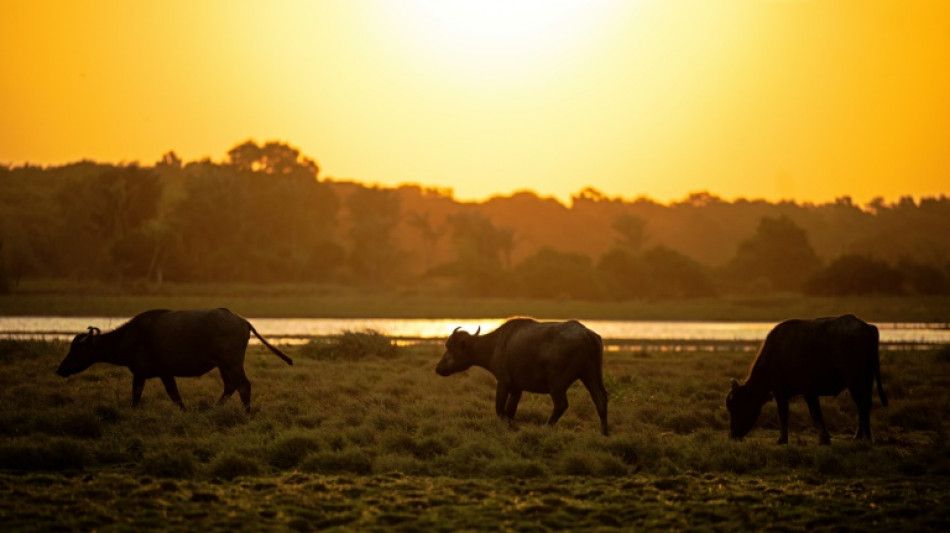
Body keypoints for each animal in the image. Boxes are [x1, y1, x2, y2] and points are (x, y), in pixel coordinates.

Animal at [55, 308, 292, 412]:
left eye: (77, 349)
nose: (60, 369)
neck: (129, 337)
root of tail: (243, 321)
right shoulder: (165, 373)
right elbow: (175, 396)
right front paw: (185, 412)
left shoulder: (140, 373)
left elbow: (136, 396)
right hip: (224, 366)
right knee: (231, 386)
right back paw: (213, 409)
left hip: (230, 363)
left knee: (243, 386)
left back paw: (246, 413)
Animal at [436, 318, 608, 434]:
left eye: (449, 347)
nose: (438, 368)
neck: (495, 345)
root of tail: (587, 334)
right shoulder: (516, 389)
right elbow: (510, 411)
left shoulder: (503, 383)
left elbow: (500, 410)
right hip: (591, 376)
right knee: (600, 399)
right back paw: (604, 433)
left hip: (557, 384)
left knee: (561, 405)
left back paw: (546, 427)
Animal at [728, 314, 892, 442]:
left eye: (737, 406)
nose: (732, 436)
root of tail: (867, 327)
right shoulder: (809, 392)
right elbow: (816, 413)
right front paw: (824, 437)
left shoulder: (783, 392)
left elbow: (787, 413)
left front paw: (782, 439)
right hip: (867, 379)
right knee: (866, 405)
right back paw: (864, 436)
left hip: (855, 380)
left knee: (862, 404)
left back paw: (862, 437)